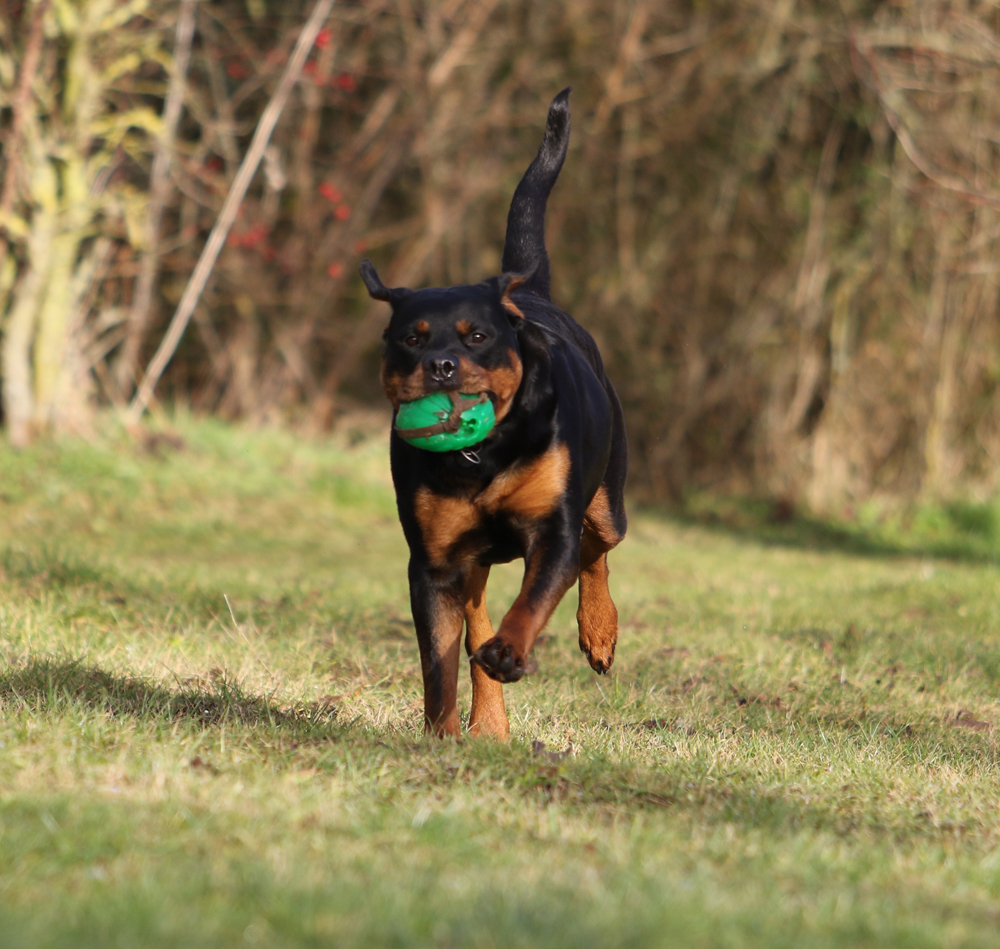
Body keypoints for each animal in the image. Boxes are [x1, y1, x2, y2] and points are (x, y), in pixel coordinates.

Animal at [359, 89, 627, 739]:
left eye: (476, 336)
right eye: (410, 339)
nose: (440, 366)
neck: (482, 456)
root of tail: (527, 292)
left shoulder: (552, 527)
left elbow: (535, 597)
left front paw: (512, 651)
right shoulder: (432, 562)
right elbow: (439, 661)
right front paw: (441, 735)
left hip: (609, 499)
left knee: (597, 549)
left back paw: (599, 633)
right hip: (470, 561)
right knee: (475, 623)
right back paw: (489, 723)